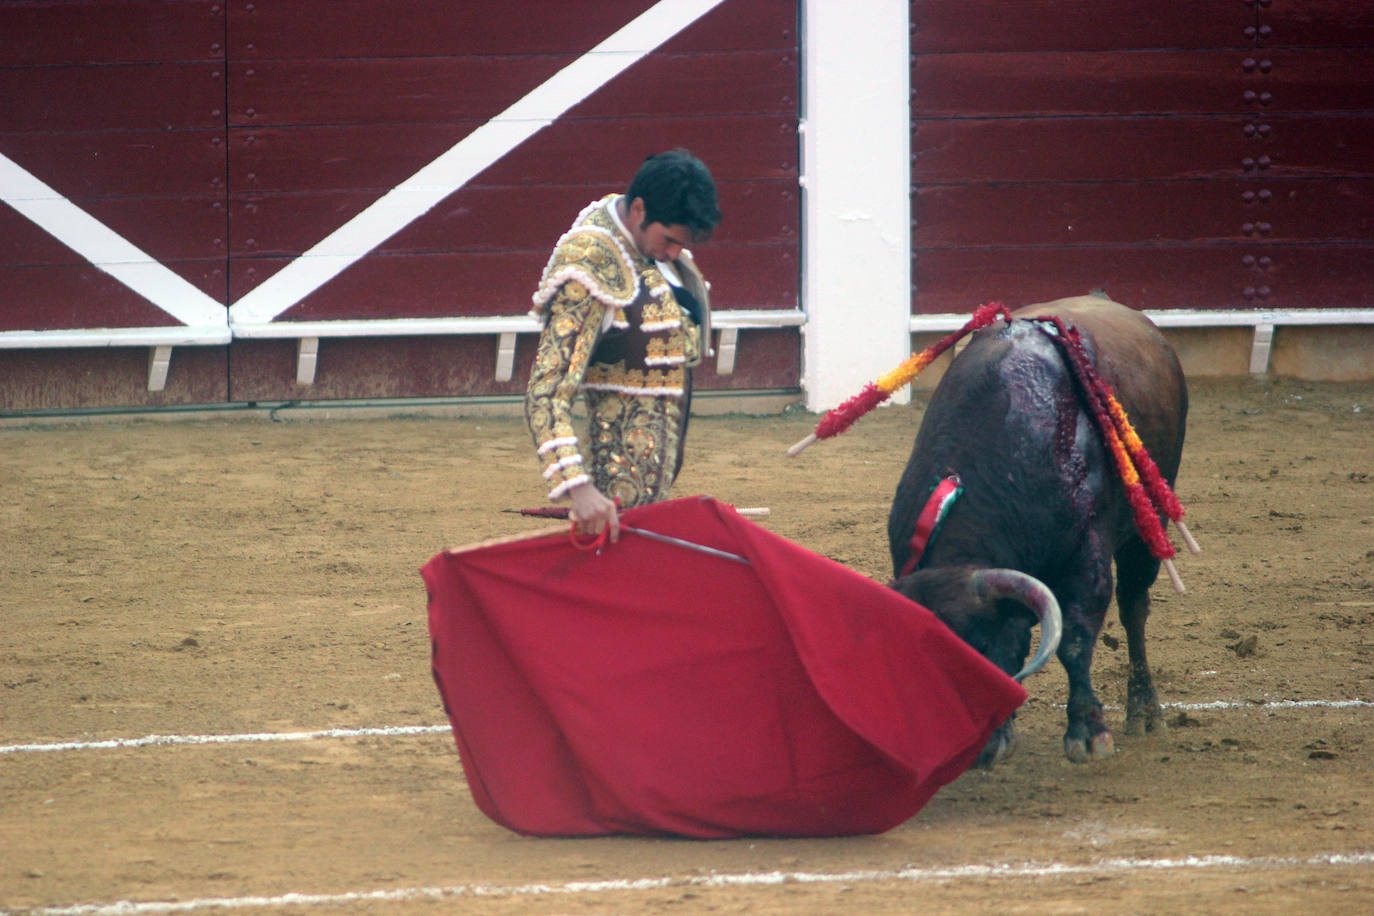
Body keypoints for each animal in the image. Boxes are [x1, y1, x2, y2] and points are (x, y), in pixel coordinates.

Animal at [884, 295, 1187, 769]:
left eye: (978, 645)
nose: (972, 752)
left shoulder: (1086, 556)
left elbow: (1075, 641)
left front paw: (1088, 733)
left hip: (1150, 520)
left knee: (1134, 607)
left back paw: (1144, 712)